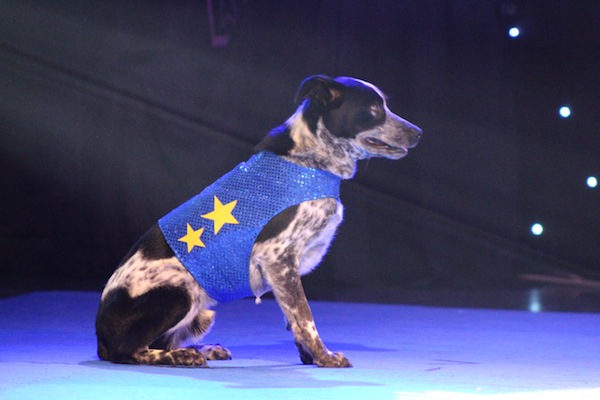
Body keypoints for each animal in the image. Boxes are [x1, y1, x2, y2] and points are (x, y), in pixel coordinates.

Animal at [95, 75, 422, 368]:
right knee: (129, 351)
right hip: (178, 294)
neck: (308, 161)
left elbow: (292, 316)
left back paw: (203, 350)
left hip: (201, 314)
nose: (419, 132)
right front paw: (325, 357)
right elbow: (304, 315)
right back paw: (180, 357)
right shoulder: (277, 257)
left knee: (160, 342)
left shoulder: (284, 269)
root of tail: (100, 337)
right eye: (374, 109)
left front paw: (309, 357)